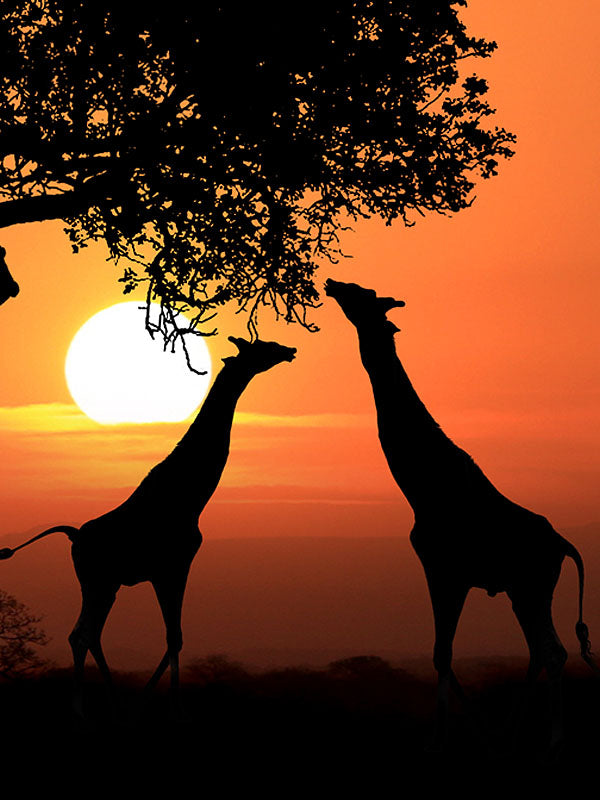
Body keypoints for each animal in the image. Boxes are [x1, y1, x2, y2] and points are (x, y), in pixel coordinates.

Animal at [0, 335, 296, 713]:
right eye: (263, 347)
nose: (289, 351)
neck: (190, 498)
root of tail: (74, 536)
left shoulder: (166, 570)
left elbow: (175, 637)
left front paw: (147, 698)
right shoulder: (173, 566)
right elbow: (175, 637)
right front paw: (170, 704)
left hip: (105, 584)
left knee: (87, 634)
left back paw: (110, 701)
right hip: (98, 581)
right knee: (83, 634)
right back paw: (85, 706)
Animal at [325, 277, 596, 750]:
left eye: (363, 295)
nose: (332, 283)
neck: (426, 486)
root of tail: (564, 544)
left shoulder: (443, 569)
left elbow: (442, 654)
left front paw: (441, 736)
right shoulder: (451, 574)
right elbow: (443, 655)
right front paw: (473, 729)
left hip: (532, 584)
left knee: (552, 652)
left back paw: (552, 740)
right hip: (521, 590)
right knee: (541, 652)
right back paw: (509, 733)